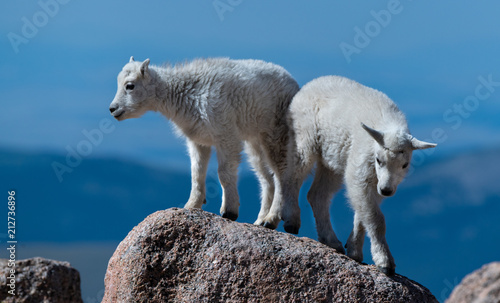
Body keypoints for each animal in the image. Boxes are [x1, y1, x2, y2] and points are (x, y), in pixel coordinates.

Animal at [108, 57, 298, 223]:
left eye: (130, 86)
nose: (113, 109)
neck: (184, 95)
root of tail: (294, 84)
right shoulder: (198, 141)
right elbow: (196, 172)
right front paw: (191, 205)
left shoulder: (225, 135)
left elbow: (224, 173)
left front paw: (229, 211)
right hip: (255, 142)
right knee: (267, 179)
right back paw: (262, 221)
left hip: (276, 135)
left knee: (282, 175)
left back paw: (273, 219)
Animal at [276, 76, 436, 276]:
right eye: (379, 159)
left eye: (405, 165)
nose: (386, 190)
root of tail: (308, 86)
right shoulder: (361, 173)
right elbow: (375, 219)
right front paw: (385, 262)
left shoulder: (373, 182)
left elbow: (363, 214)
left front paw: (354, 251)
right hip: (304, 139)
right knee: (292, 176)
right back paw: (291, 220)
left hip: (332, 159)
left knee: (317, 194)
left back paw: (331, 240)